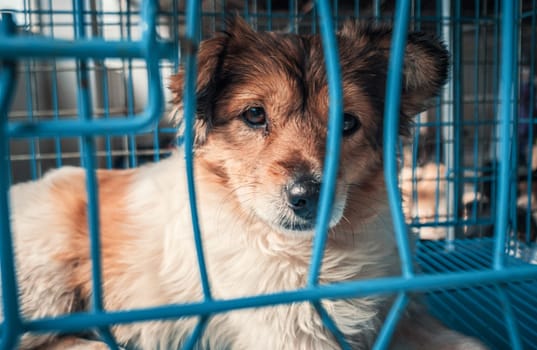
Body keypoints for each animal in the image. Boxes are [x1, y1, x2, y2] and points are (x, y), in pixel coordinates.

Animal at [8, 17, 486, 350]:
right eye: (254, 115)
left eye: (347, 123)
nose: (308, 196)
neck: (315, 252)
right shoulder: (290, 333)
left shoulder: (402, 313)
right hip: (45, 279)